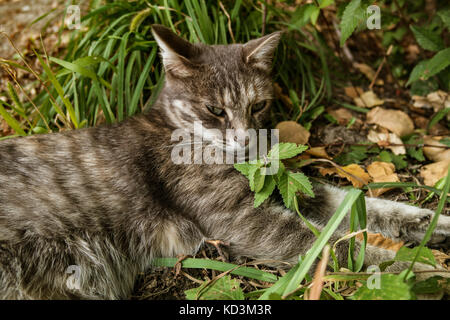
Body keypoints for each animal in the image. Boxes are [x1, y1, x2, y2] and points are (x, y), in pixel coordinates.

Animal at [0, 25, 448, 300]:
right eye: (215, 110)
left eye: (258, 105)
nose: (246, 140)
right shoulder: (244, 219)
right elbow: (336, 245)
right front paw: (416, 269)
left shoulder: (289, 191)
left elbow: (367, 204)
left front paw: (433, 223)